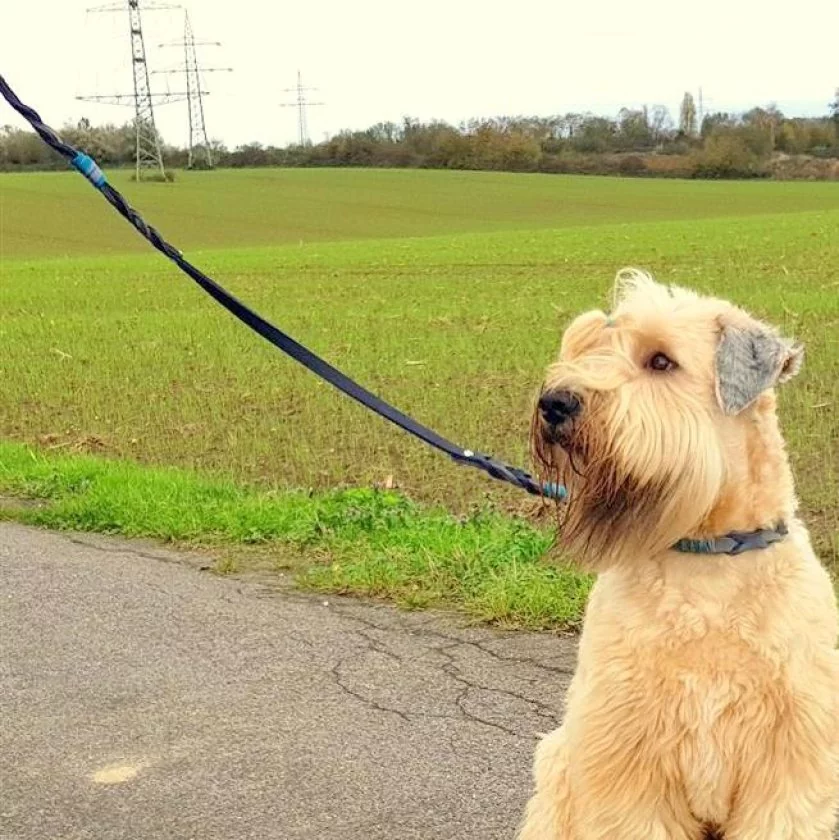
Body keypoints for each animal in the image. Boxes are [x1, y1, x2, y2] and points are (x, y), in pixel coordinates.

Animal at [520, 270, 839, 840]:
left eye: (661, 361)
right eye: (592, 346)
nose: (555, 402)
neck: (707, 558)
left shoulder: (789, 763)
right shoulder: (629, 760)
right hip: (557, 767)